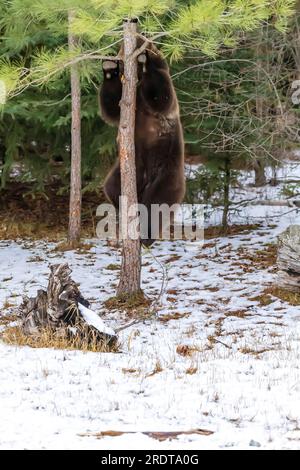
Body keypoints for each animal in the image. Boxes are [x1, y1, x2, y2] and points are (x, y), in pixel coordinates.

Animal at [99, 38, 184, 244]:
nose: (139, 38)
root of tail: (146, 180)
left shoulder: (161, 98)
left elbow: (162, 96)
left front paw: (146, 59)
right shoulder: (128, 104)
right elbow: (112, 107)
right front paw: (109, 67)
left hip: (167, 173)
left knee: (157, 206)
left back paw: (146, 235)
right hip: (130, 168)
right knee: (113, 187)